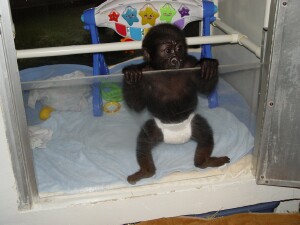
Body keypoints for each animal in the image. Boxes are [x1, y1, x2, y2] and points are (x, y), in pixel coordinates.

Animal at [122, 23, 230, 185]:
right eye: (167, 51)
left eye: (179, 48)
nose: (175, 59)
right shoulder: (146, 71)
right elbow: (137, 105)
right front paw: (132, 76)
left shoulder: (190, 64)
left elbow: (204, 88)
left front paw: (208, 65)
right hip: (156, 129)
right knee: (144, 142)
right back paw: (147, 171)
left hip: (193, 123)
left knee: (205, 134)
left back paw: (204, 162)